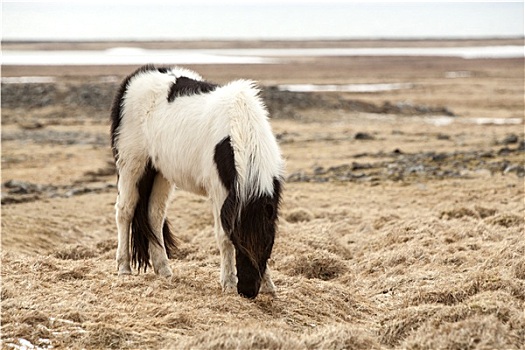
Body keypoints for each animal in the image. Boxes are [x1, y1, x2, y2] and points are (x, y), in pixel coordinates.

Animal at [108, 65, 284, 298]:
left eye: (268, 243)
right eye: (238, 241)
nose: (248, 291)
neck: (238, 127)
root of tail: (135, 78)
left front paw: (269, 287)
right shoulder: (221, 193)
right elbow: (223, 237)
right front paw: (228, 284)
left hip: (160, 173)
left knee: (154, 216)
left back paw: (164, 270)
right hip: (132, 165)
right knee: (125, 211)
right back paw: (124, 268)